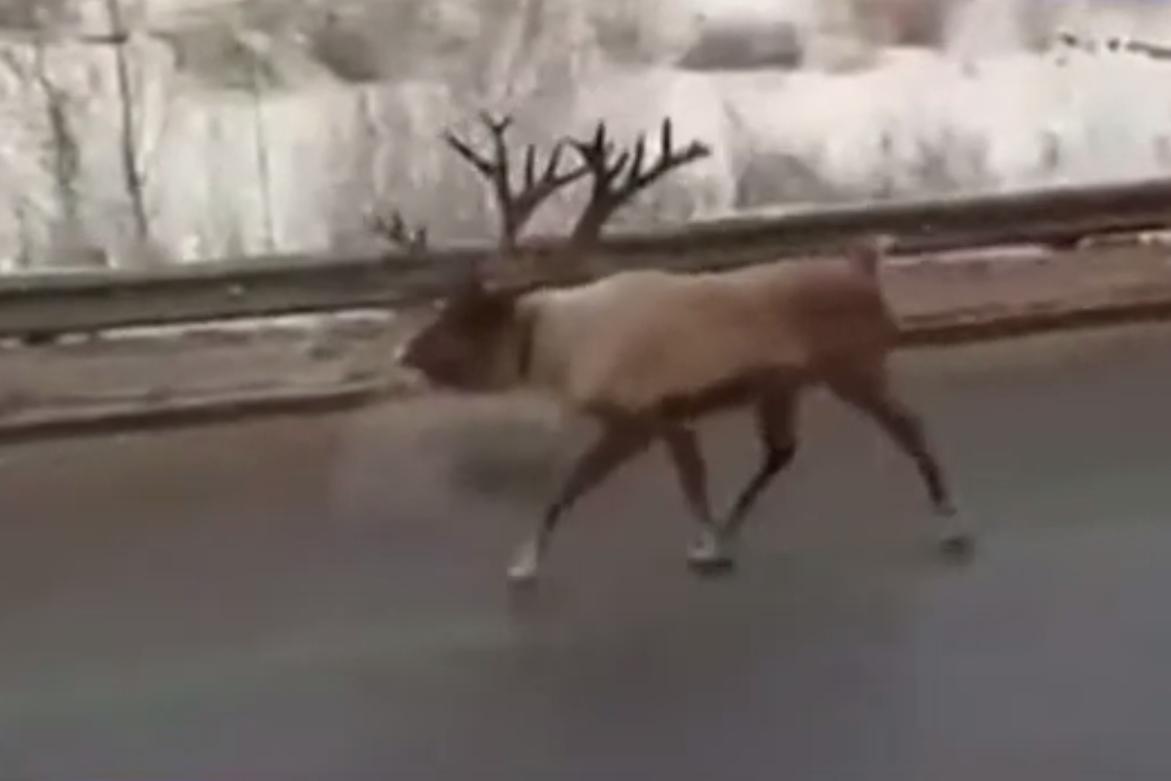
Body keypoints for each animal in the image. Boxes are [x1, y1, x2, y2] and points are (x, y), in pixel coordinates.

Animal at [395, 112, 974, 585]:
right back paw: (728, 539)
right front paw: (707, 543)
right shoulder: (674, 419)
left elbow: (574, 486)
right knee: (781, 452)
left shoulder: (639, 418)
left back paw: (952, 526)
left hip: (856, 367)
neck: (560, 344)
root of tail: (865, 268)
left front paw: (523, 563)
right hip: (782, 386)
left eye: (466, 319)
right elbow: (690, 484)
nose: (407, 353)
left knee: (909, 428)